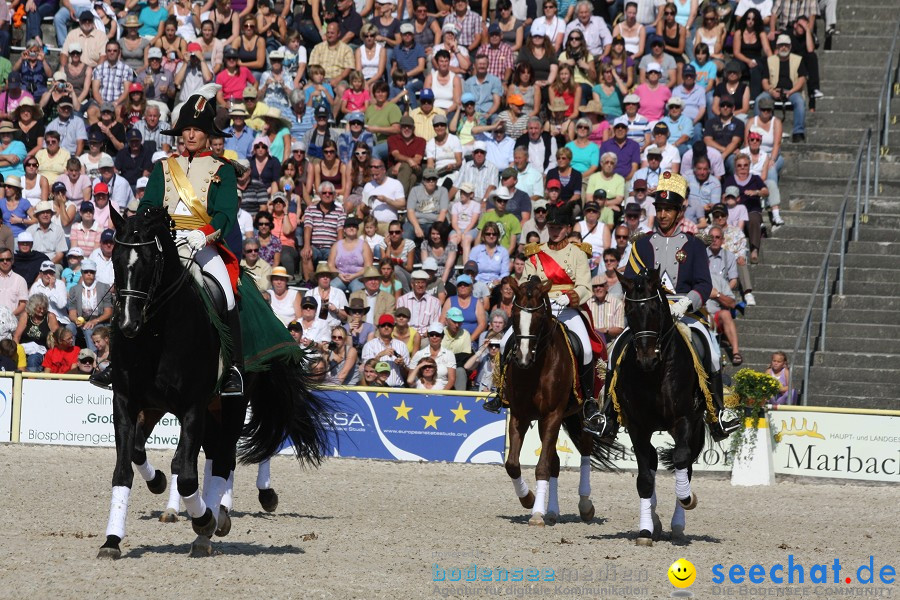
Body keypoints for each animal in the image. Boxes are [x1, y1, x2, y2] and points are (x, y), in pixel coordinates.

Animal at [98, 209, 330, 560]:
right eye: (115, 258)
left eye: (151, 262)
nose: (127, 323)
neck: (156, 334)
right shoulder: (128, 401)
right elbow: (126, 466)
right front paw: (112, 539)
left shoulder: (192, 406)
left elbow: (186, 473)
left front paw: (203, 519)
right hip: (204, 408)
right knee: (211, 453)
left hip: (233, 402)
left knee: (223, 458)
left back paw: (213, 521)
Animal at [502, 276, 616, 524]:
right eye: (514, 314)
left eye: (538, 317)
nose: (523, 359)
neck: (535, 368)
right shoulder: (520, 415)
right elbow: (513, 464)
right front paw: (529, 500)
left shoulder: (552, 414)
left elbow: (542, 466)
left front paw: (536, 514)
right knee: (554, 462)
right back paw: (552, 511)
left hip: (577, 417)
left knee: (585, 451)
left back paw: (585, 505)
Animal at [616, 270, 708, 548]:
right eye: (629, 311)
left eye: (655, 309)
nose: (647, 359)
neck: (654, 375)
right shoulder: (637, 427)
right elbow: (645, 478)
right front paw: (646, 530)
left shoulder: (684, 420)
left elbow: (680, 459)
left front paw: (686, 498)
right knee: (654, 461)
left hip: (696, 427)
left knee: (686, 463)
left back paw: (678, 522)